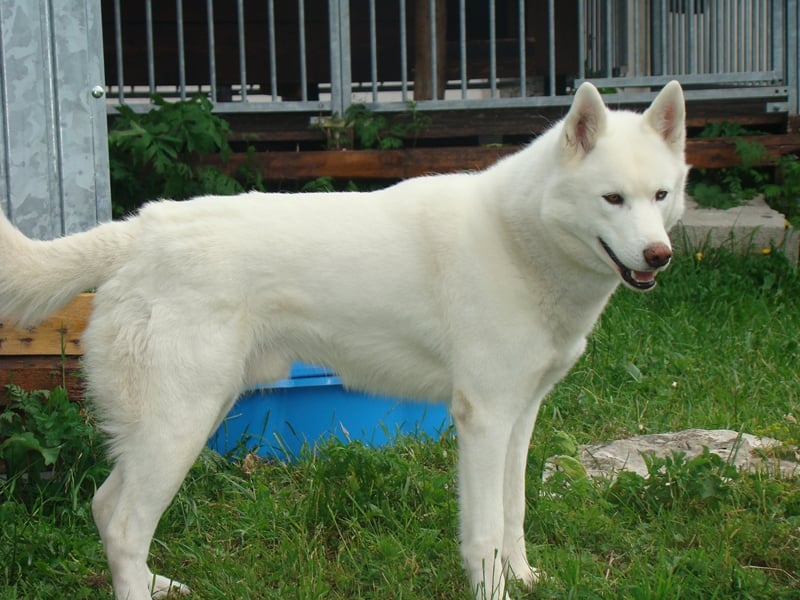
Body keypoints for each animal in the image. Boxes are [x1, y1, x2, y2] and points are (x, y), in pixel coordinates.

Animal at [0, 80, 687, 599]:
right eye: (611, 199)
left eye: (660, 195)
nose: (660, 256)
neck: (518, 238)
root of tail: (139, 230)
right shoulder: (484, 421)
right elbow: (485, 532)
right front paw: (495, 590)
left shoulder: (521, 418)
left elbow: (513, 515)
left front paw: (522, 579)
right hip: (180, 426)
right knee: (122, 526)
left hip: (185, 420)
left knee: (104, 507)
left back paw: (155, 583)